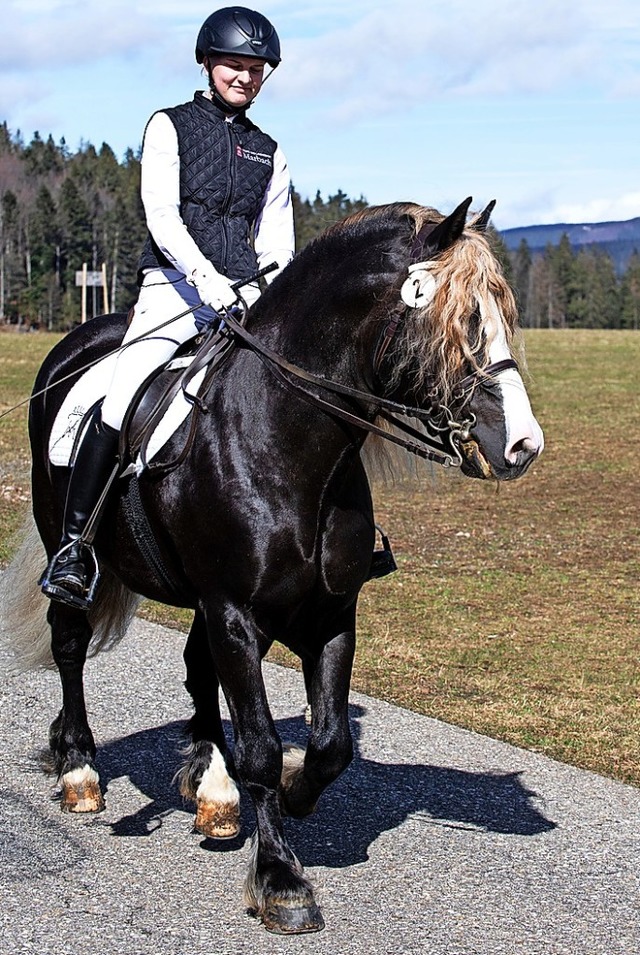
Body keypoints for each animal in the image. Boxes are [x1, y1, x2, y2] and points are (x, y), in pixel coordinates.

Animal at [3, 198, 544, 936]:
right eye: (456, 317)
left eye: (502, 311)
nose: (522, 444)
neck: (284, 438)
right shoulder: (234, 609)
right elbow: (259, 742)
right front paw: (282, 879)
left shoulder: (328, 615)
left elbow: (330, 743)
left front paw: (293, 793)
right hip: (74, 550)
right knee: (69, 647)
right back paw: (80, 768)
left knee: (197, 672)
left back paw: (212, 787)